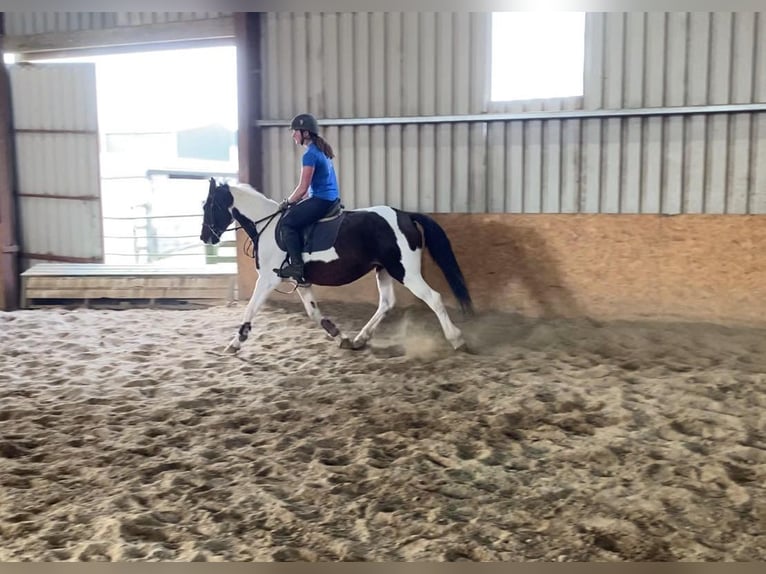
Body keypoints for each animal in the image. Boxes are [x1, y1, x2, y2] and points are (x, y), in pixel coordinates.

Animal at [198, 178, 474, 354]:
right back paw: (361, 338)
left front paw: (236, 342)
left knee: (433, 298)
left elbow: (250, 309)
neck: (267, 225)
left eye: (208, 206)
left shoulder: (268, 279)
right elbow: (314, 313)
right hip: (384, 269)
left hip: (405, 271)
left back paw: (457, 339)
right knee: (386, 303)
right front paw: (340, 337)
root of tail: (404, 214)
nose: (205, 238)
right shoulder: (299, 281)